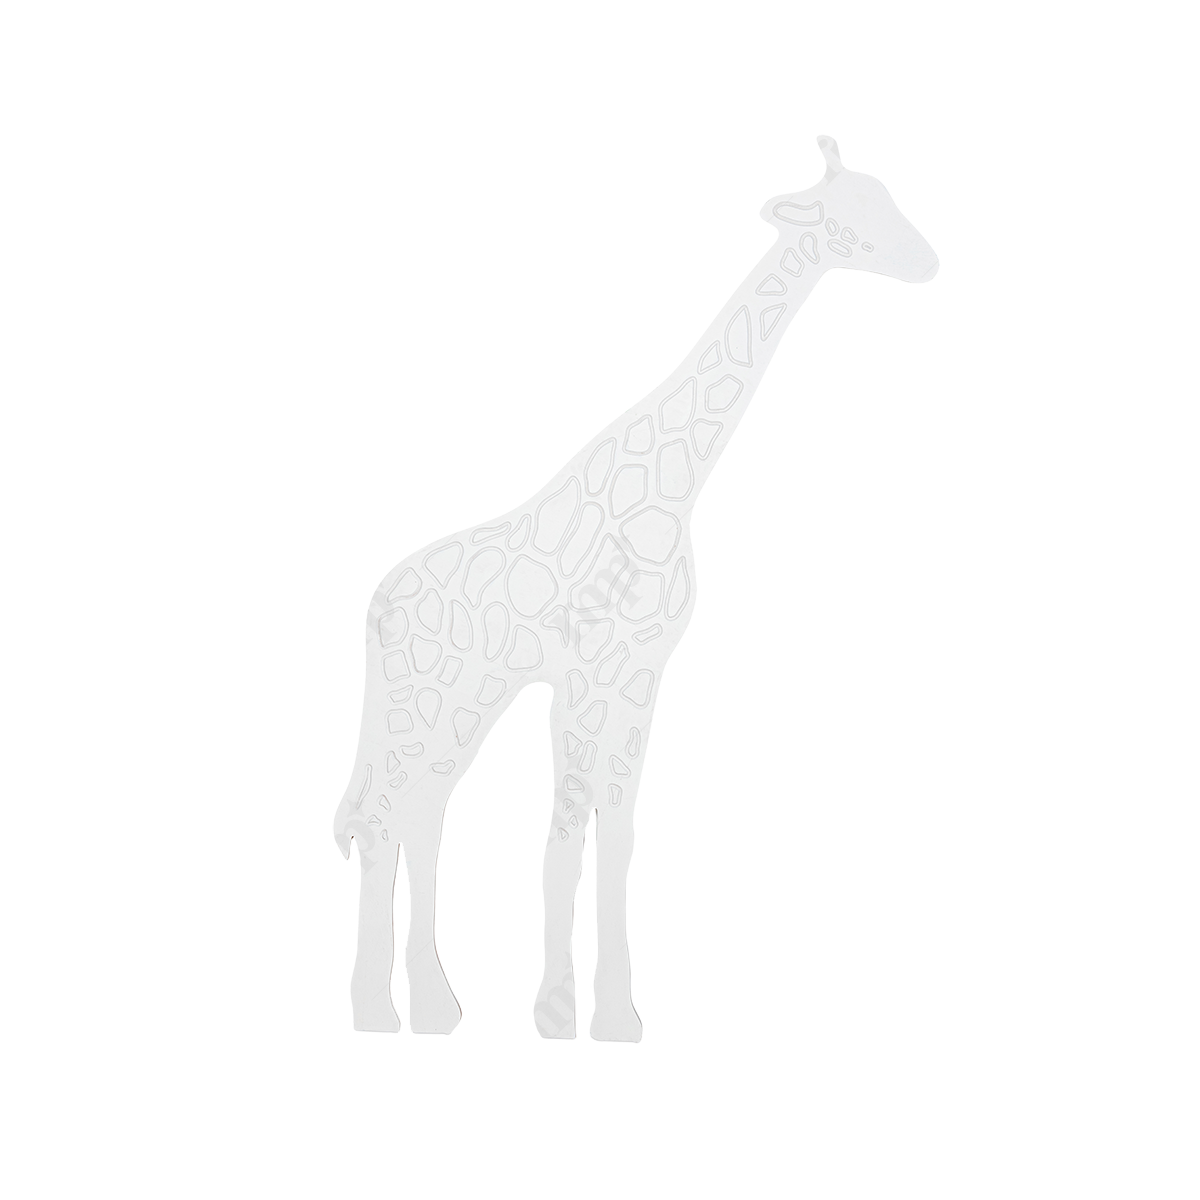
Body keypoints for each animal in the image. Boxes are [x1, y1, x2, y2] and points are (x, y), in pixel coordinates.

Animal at [333, 167, 939, 1041]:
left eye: (884, 197)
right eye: (844, 217)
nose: (927, 261)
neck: (678, 485)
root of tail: (376, 607)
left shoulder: (639, 674)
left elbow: (616, 833)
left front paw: (616, 1014)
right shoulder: (587, 670)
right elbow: (565, 826)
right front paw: (555, 1015)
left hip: (463, 701)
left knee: (420, 813)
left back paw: (438, 1008)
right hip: (422, 696)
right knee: (381, 817)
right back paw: (377, 1013)